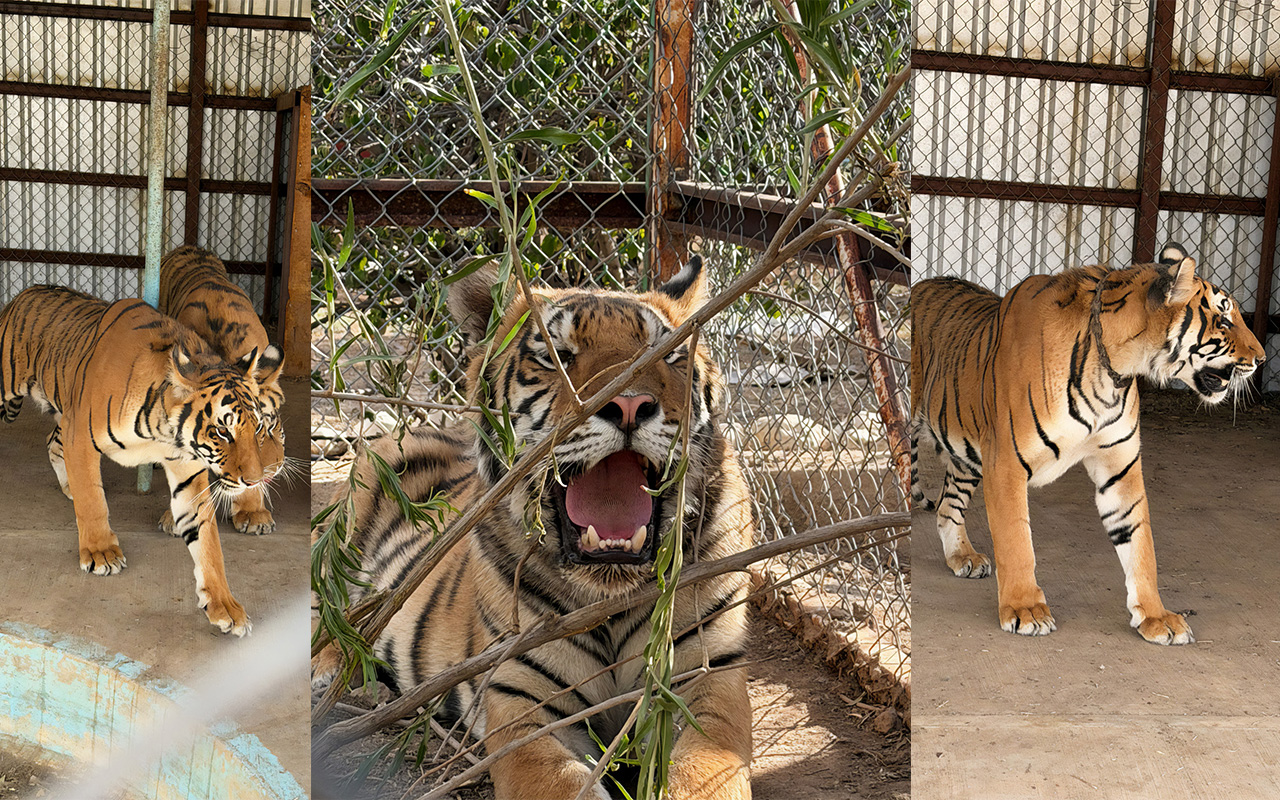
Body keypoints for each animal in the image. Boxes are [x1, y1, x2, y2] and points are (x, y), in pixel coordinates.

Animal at [0, 285, 267, 636]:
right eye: (222, 431)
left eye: (258, 427)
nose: (255, 480)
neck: (163, 430)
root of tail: (24, 292)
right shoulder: (80, 438)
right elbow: (93, 501)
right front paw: (100, 552)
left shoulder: (188, 474)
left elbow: (208, 542)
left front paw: (225, 606)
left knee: (52, 443)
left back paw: (68, 487)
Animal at [313, 257, 754, 800]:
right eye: (557, 356)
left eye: (668, 356)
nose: (629, 405)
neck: (608, 592)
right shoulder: (521, 700)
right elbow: (559, 783)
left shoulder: (708, 677)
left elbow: (705, 773)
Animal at [910, 244, 1265, 644]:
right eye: (1224, 320)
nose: (1262, 359)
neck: (1116, 368)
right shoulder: (1006, 463)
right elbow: (1017, 541)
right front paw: (1025, 610)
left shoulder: (1120, 469)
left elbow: (1140, 544)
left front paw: (1156, 617)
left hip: (968, 455)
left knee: (947, 507)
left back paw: (963, 557)